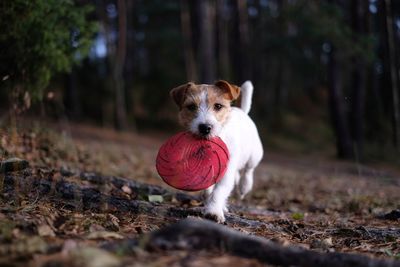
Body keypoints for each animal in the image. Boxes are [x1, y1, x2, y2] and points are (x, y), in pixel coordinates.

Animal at [170, 80, 264, 223]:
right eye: (191, 107)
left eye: (218, 106)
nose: (205, 127)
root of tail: (242, 111)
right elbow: (207, 190)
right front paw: (212, 203)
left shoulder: (226, 172)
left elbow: (219, 191)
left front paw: (213, 211)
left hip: (254, 155)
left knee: (248, 170)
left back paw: (244, 186)